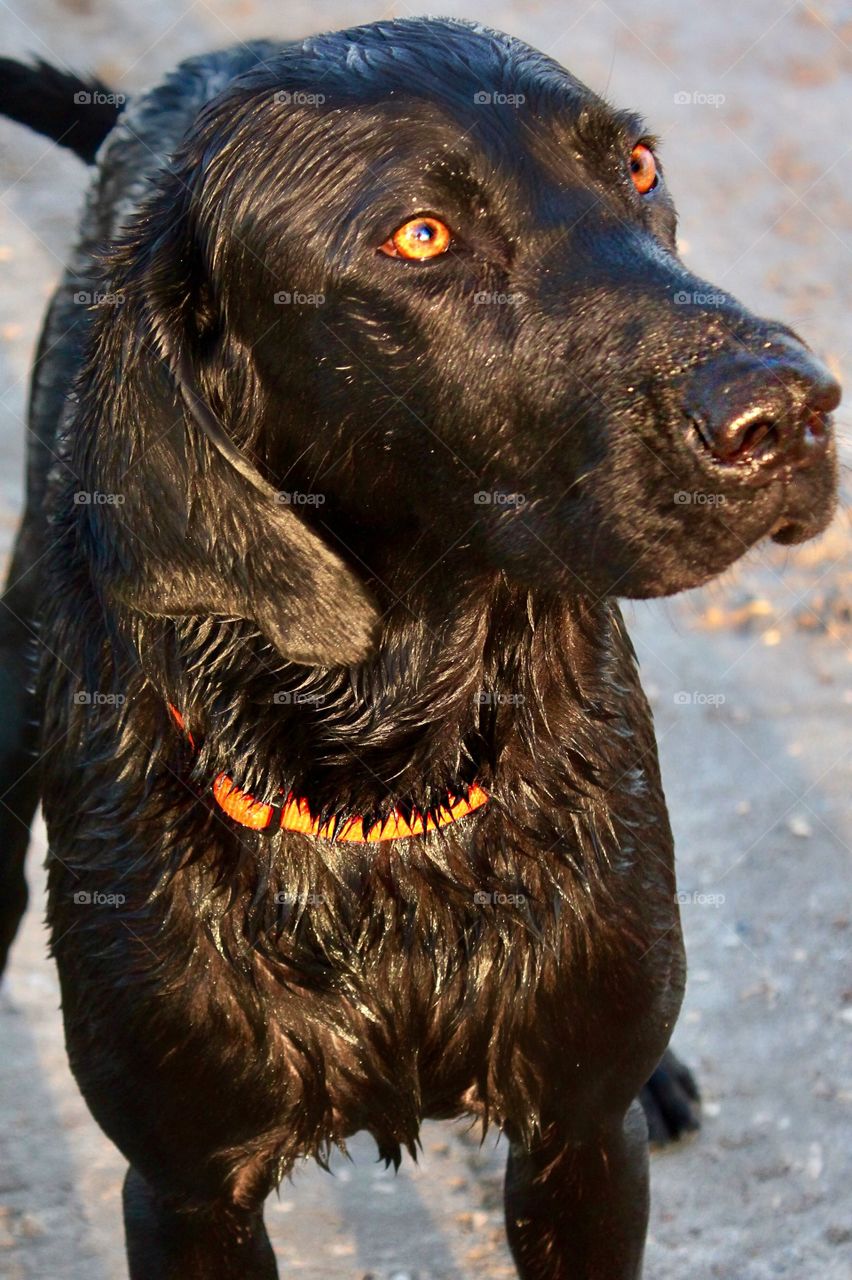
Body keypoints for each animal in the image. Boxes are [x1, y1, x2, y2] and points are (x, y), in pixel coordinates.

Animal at [0, 20, 834, 1280]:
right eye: (422, 236)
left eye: (638, 168)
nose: (788, 410)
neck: (387, 759)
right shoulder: (186, 1188)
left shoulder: (580, 1139)